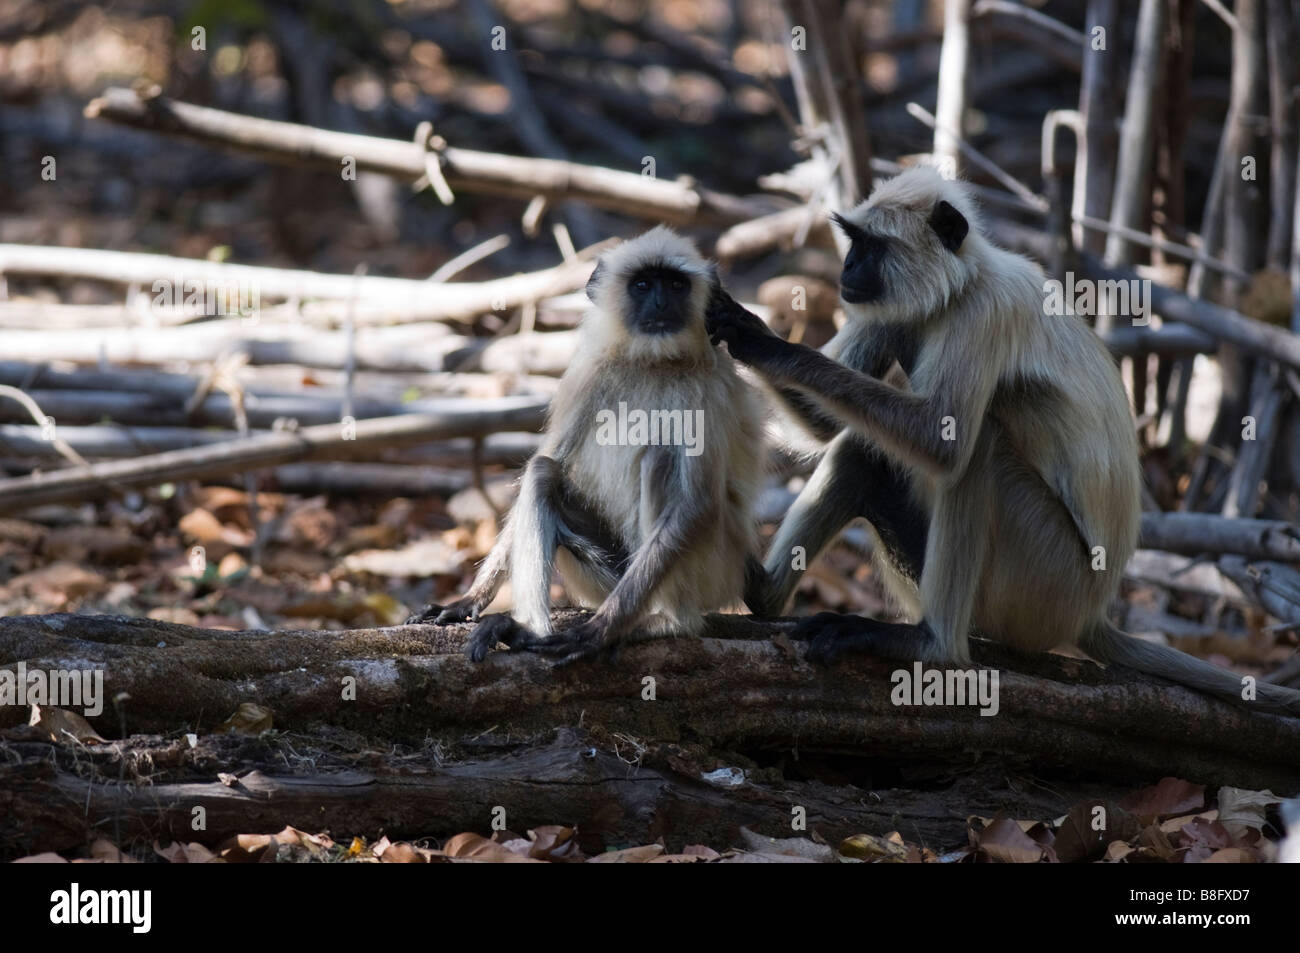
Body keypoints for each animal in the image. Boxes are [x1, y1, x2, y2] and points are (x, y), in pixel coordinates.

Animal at [408, 228, 759, 660]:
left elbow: (696, 504)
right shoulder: (589, 373)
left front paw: (599, 631)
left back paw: (665, 623)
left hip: (706, 576)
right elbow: (549, 457)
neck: (654, 363)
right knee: (543, 473)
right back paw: (526, 631)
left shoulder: (708, 392)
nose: (661, 303)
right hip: (605, 577)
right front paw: (468, 600)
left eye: (676, 285)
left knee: (661, 458)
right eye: (643, 285)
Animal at [707, 167, 1300, 712]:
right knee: (861, 446)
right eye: (853, 242)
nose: (846, 268)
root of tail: (1093, 610)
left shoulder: (982, 312)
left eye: (870, 246)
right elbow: (825, 428)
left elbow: (942, 444)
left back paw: (931, 645)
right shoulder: (897, 311)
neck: (961, 284)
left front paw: (767, 342)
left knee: (978, 450)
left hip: (1044, 585)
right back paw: (762, 593)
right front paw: (740, 328)